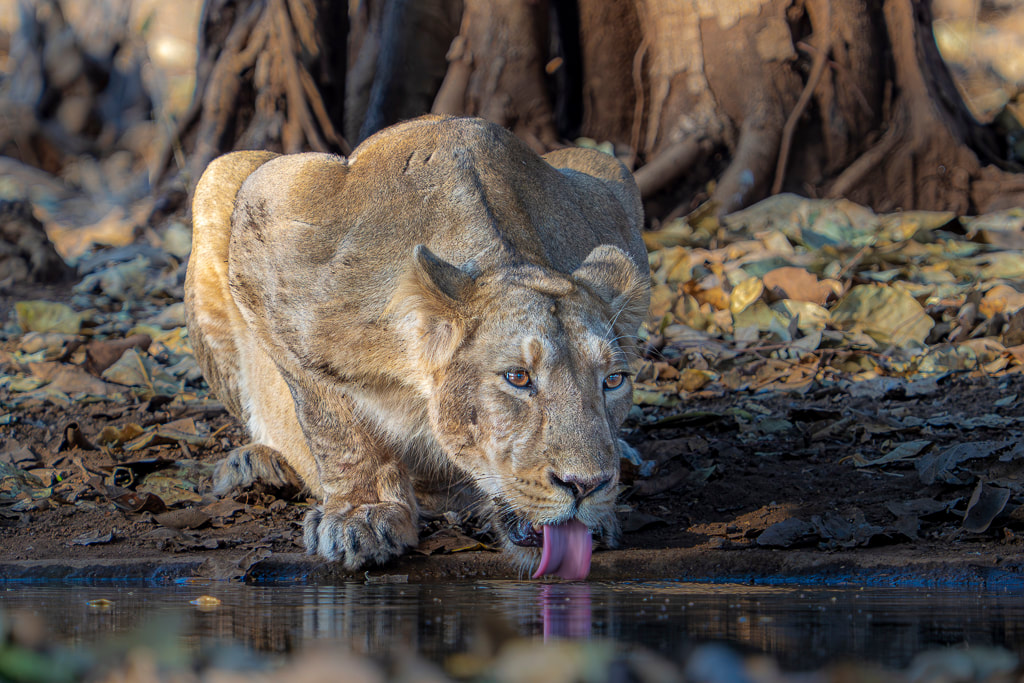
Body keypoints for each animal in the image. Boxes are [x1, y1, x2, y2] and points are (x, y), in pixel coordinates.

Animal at [184, 115, 650, 579]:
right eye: (517, 377)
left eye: (613, 381)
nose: (587, 485)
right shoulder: (270, 216)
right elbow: (331, 419)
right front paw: (362, 513)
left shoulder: (610, 195)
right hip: (221, 174)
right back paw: (258, 465)